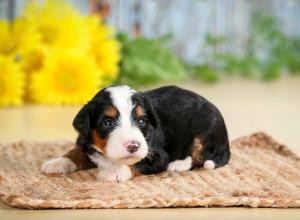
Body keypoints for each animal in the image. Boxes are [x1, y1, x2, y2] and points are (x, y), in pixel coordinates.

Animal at [41, 85, 230, 181]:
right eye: (108, 122)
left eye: (141, 121)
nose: (133, 146)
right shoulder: (85, 140)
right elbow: (77, 151)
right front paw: (58, 162)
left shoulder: (157, 154)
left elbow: (137, 162)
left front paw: (115, 172)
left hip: (205, 128)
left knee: (199, 155)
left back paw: (177, 165)